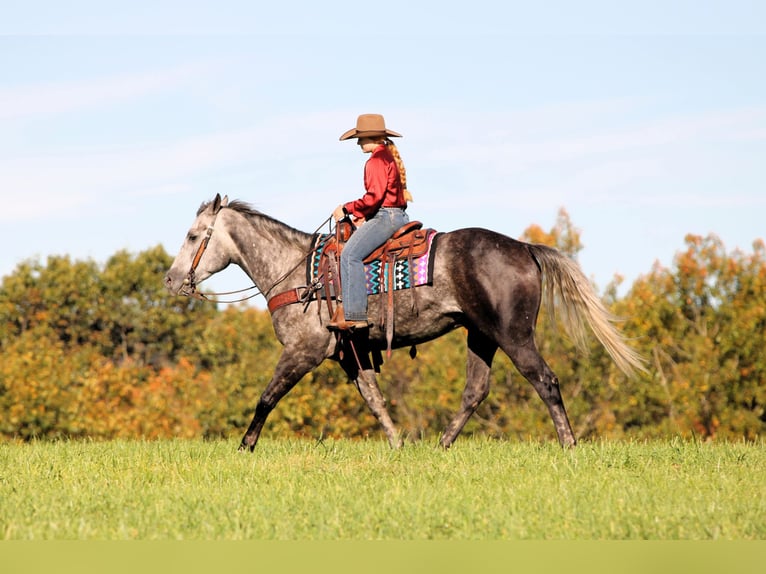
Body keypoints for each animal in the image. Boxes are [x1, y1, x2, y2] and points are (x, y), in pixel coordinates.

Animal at [165, 194, 645, 452]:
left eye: (193, 236)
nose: (170, 279)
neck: (297, 271)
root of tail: (523, 247)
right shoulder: (351, 354)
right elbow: (375, 401)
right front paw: (397, 445)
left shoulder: (303, 351)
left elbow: (266, 398)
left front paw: (245, 446)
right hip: (481, 336)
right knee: (475, 391)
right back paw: (441, 445)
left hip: (515, 335)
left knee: (545, 381)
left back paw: (569, 445)